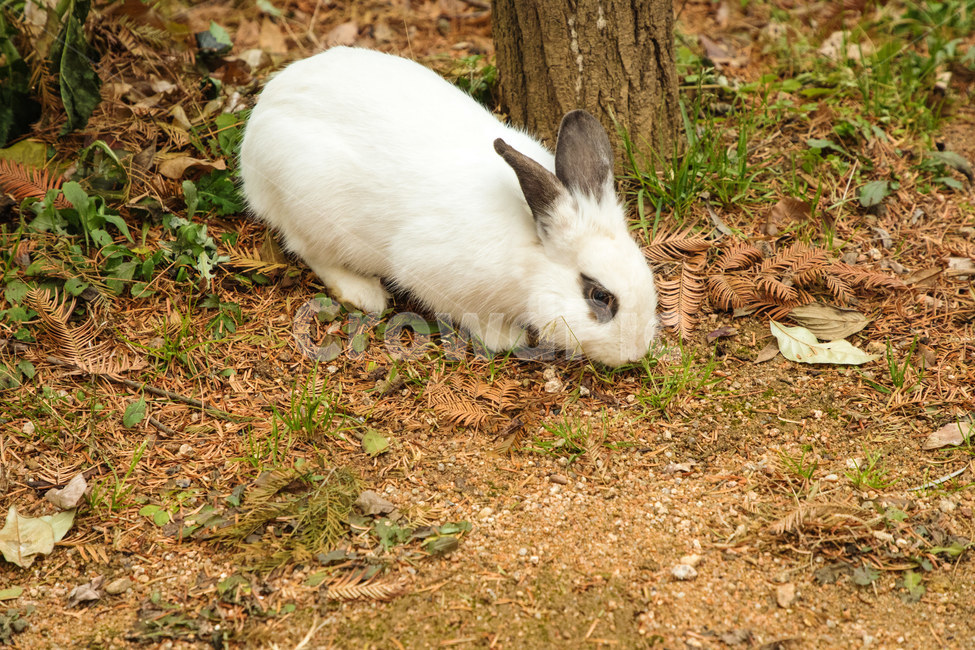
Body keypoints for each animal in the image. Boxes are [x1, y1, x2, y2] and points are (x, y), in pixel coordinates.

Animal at [239, 46, 658, 367]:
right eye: (600, 296)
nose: (635, 353)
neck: (529, 259)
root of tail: (255, 134)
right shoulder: (430, 272)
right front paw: (506, 337)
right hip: (314, 207)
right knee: (309, 251)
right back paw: (363, 293)